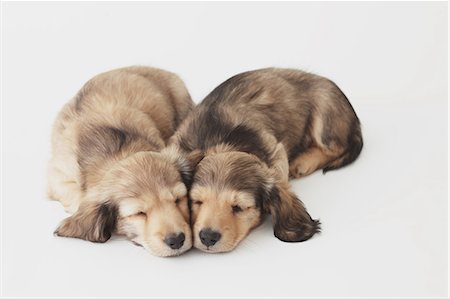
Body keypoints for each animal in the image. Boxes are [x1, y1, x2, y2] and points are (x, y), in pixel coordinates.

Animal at [171, 67, 364, 253]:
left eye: (238, 207)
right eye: (197, 202)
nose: (207, 237)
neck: (221, 143)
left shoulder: (276, 151)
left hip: (325, 113)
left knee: (336, 147)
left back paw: (303, 162)